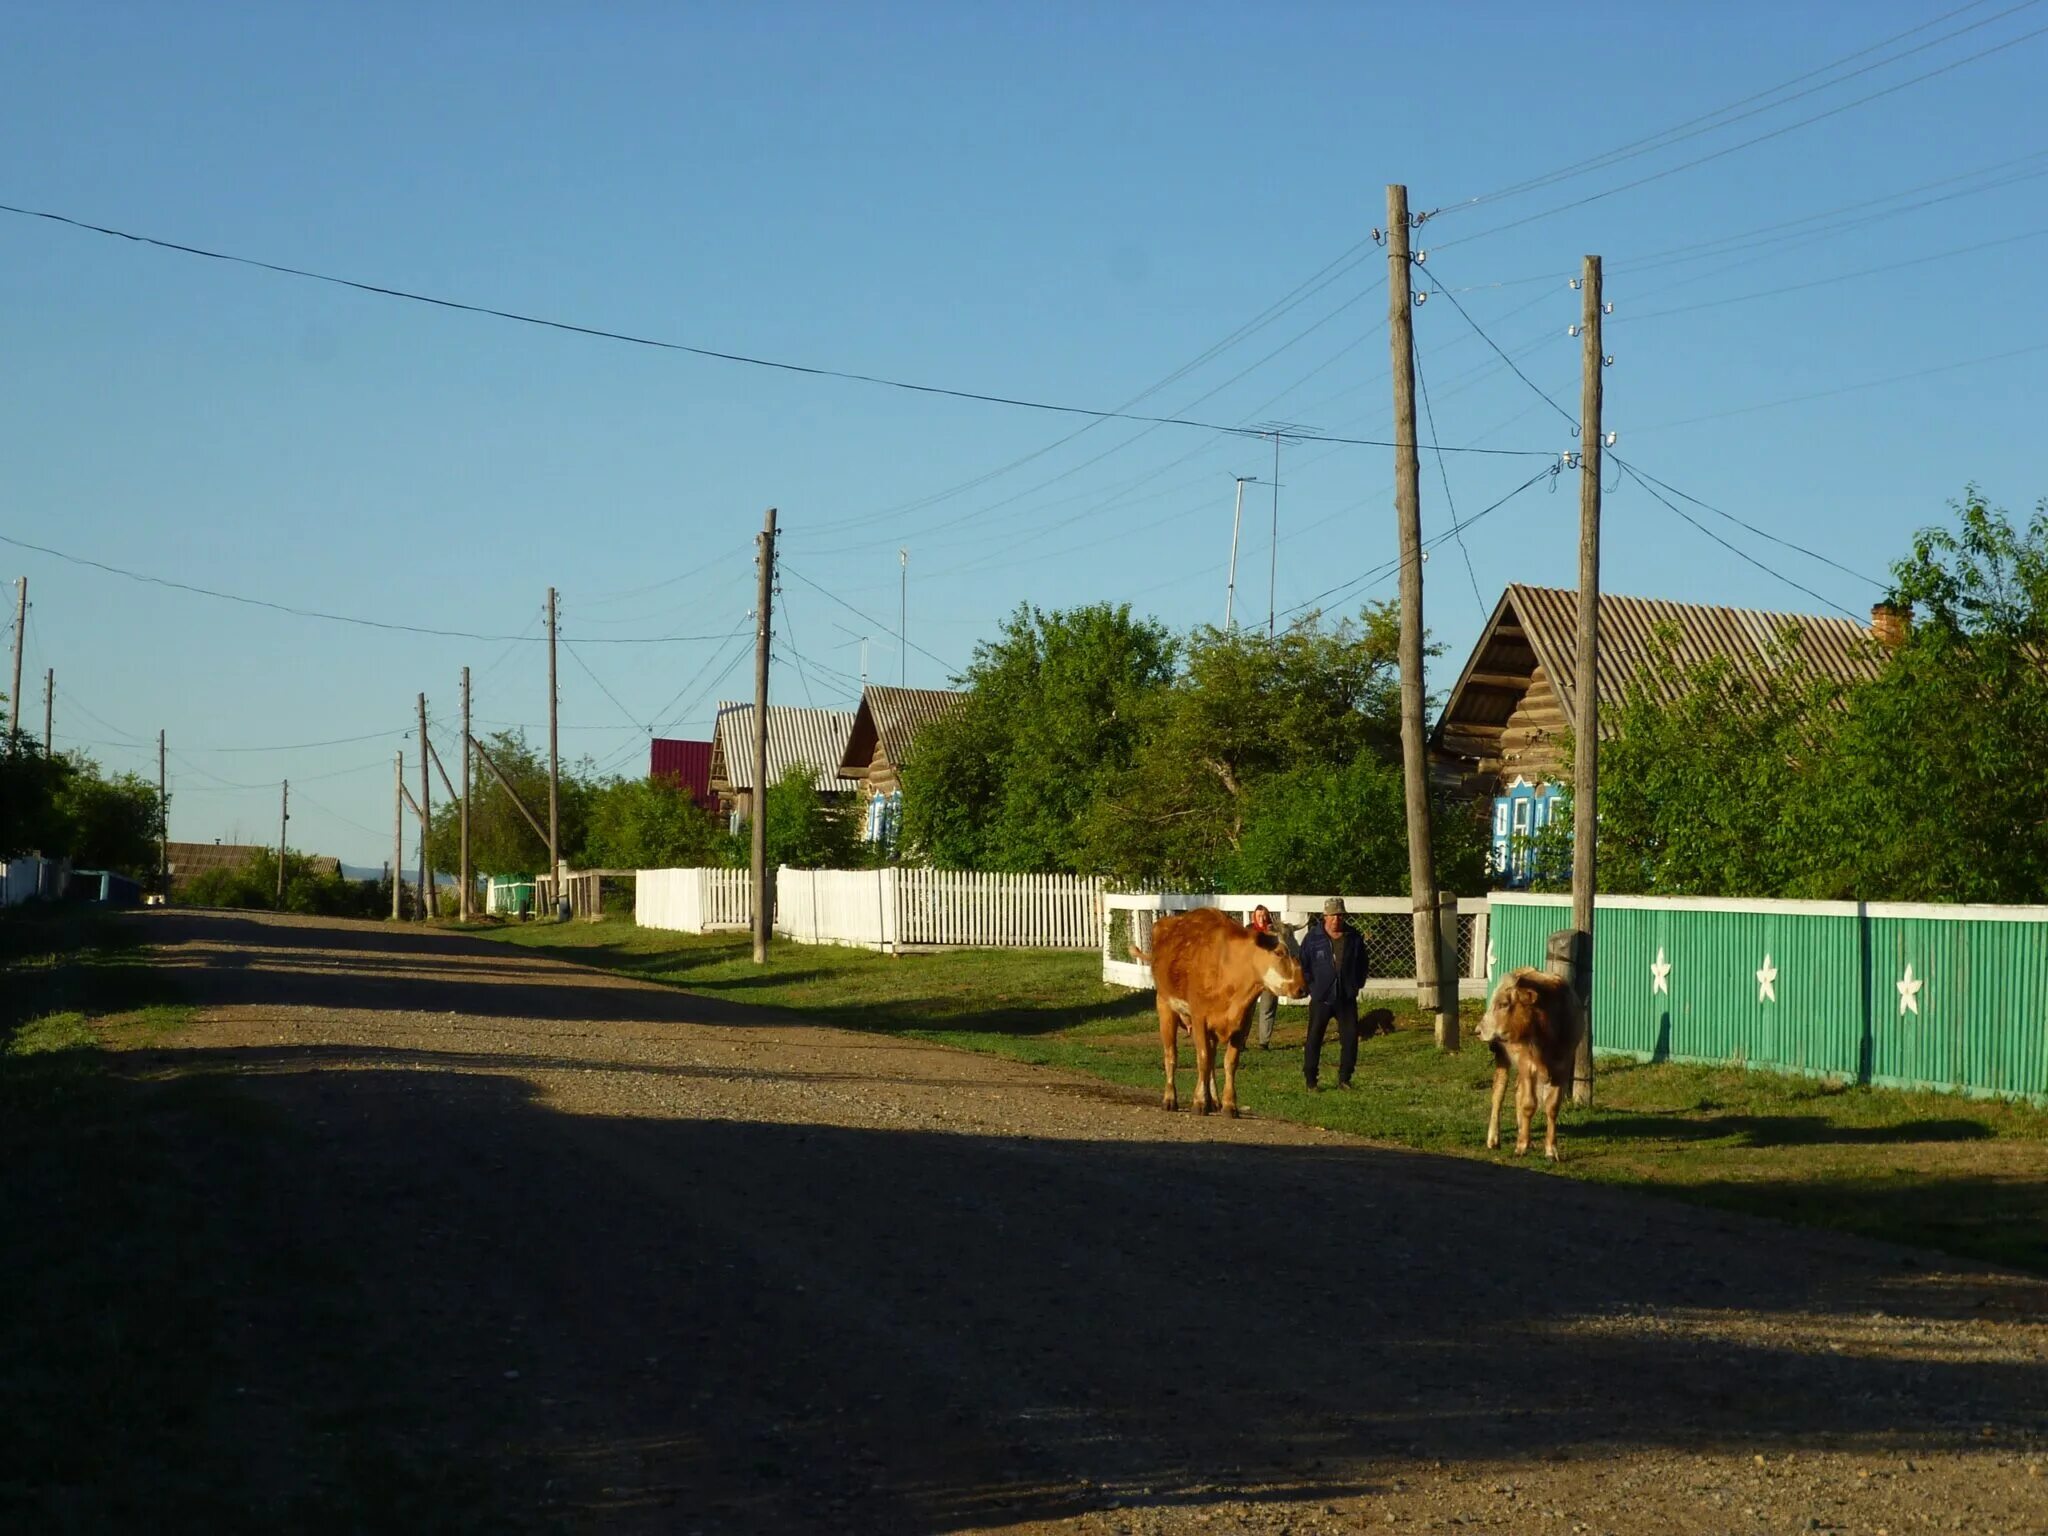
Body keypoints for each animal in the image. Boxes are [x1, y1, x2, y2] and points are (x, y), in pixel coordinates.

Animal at [1130, 913, 1302, 1122]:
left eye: (1298, 950)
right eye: (1279, 952)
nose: (1302, 988)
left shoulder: (1243, 1022)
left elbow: (1229, 1063)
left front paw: (1229, 1104)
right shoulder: (1199, 1019)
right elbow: (1203, 1060)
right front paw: (1199, 1101)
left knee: (1211, 1061)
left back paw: (1213, 1100)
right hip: (1165, 1007)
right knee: (1171, 1055)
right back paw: (1170, 1098)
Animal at [1474, 966, 1581, 1163]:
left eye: (1503, 1004)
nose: (1478, 1030)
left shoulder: (1562, 1067)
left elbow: (1552, 1107)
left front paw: (1550, 1149)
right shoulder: (1527, 1065)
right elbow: (1528, 1104)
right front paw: (1521, 1146)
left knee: (1518, 1092)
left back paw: (1523, 1132)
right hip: (1502, 1056)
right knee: (1498, 1093)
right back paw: (1494, 1139)